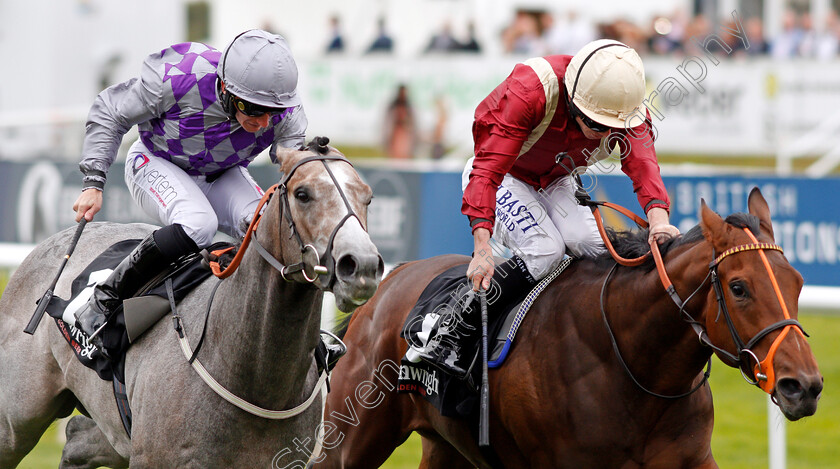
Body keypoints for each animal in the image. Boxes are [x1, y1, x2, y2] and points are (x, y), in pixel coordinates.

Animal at [0, 144, 384, 466]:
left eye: (368, 197)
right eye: (303, 194)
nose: (361, 266)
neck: (252, 376)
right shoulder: (155, 458)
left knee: (77, 440)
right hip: (15, 420)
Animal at [314, 187, 820, 468]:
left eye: (797, 282)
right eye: (739, 287)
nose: (804, 386)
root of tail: (389, 282)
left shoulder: (693, 458)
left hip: (447, 447)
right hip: (348, 441)